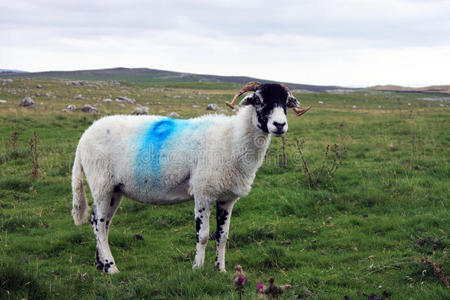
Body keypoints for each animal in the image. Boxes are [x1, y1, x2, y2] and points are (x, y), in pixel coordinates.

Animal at [71, 82, 310, 274]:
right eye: (258, 100)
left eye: (286, 103)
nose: (279, 125)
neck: (232, 138)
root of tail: (83, 138)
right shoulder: (203, 192)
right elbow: (203, 235)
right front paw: (197, 268)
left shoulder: (227, 197)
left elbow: (223, 235)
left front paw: (220, 269)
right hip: (101, 184)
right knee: (98, 223)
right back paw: (112, 268)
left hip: (115, 190)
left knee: (103, 224)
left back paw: (101, 266)